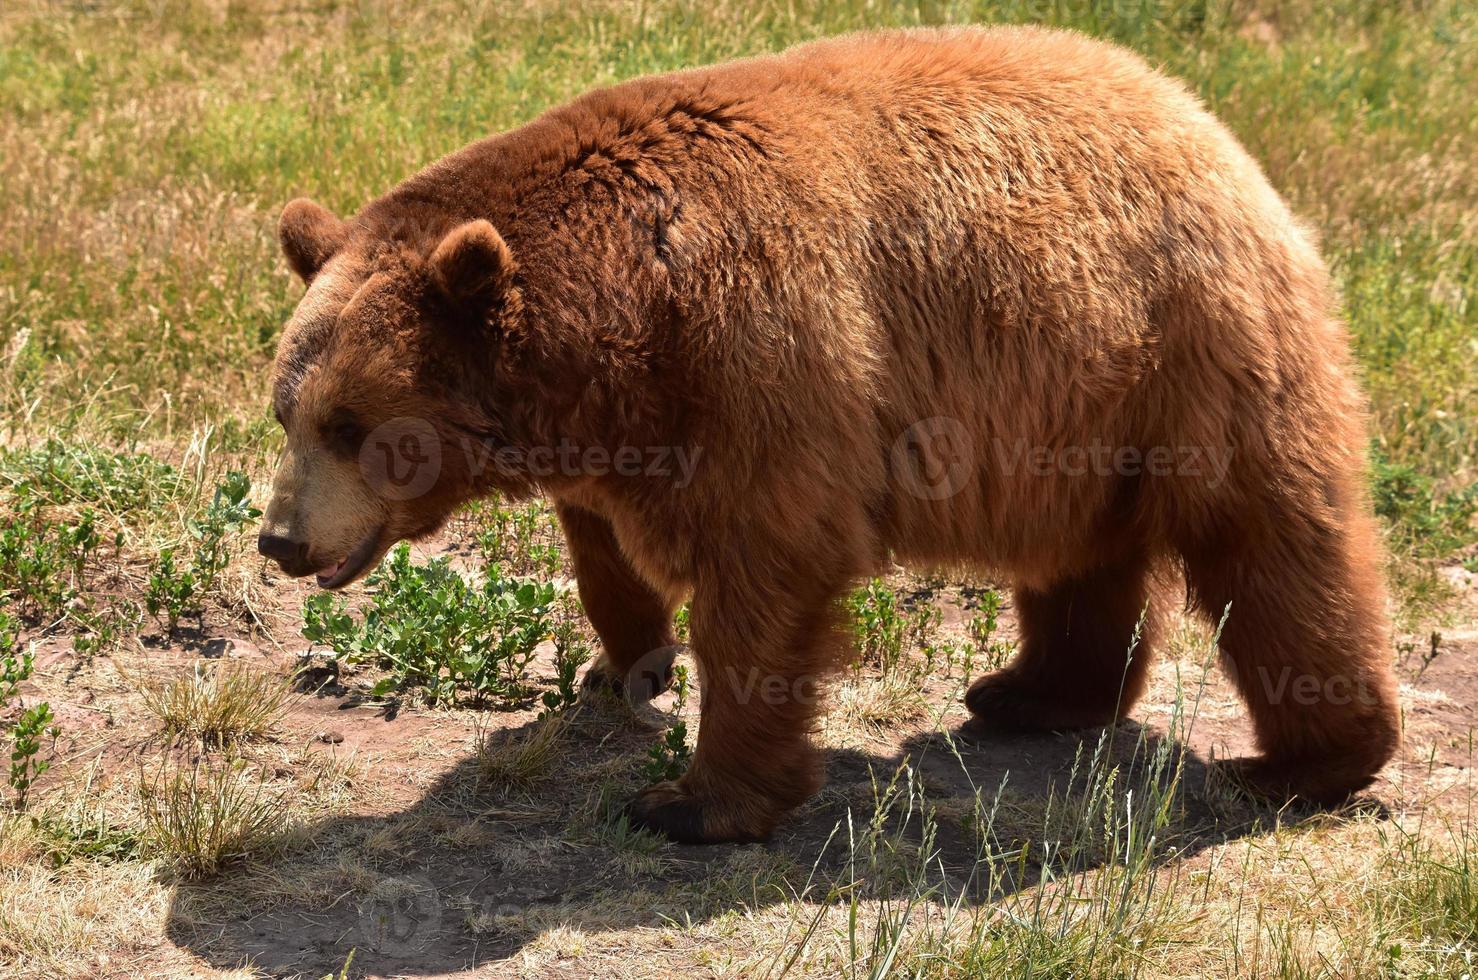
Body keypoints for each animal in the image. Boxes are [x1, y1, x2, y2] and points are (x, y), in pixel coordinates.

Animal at [260, 26, 1401, 845]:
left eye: (350, 424)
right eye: (286, 409)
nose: (280, 539)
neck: (616, 319)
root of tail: (1213, 131)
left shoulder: (761, 349)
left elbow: (766, 566)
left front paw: (691, 802)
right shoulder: (609, 424)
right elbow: (603, 550)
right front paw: (620, 669)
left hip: (1190, 349)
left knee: (1270, 544)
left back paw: (1303, 761)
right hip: (1078, 395)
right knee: (1086, 552)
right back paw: (1034, 693)